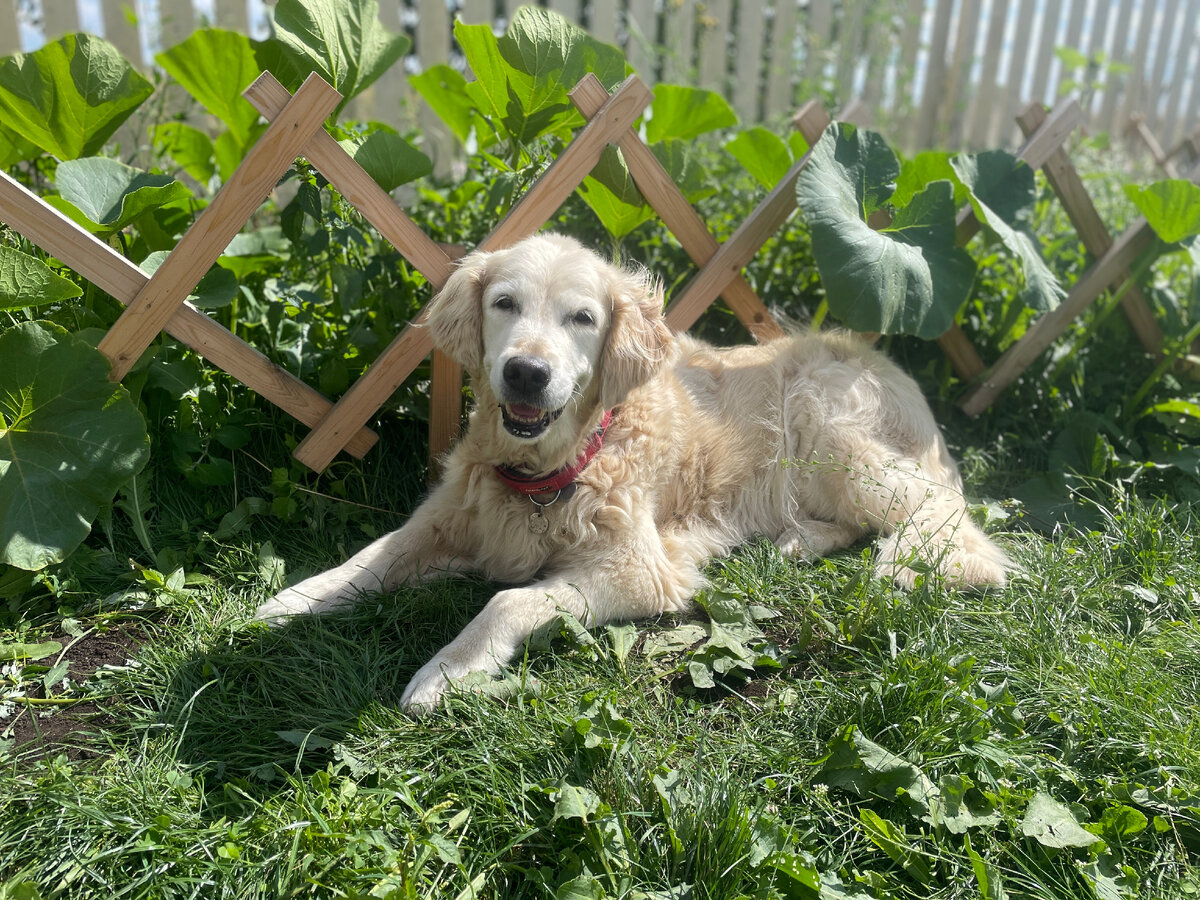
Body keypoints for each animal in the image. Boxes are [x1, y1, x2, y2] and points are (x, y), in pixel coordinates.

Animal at [258, 232, 1008, 710]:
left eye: (582, 318)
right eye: (504, 303)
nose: (526, 372)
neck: (547, 473)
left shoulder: (638, 570)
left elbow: (510, 600)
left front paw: (449, 669)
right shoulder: (450, 515)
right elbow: (373, 555)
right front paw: (293, 598)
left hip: (824, 423)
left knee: (953, 522)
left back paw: (905, 562)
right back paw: (799, 541)